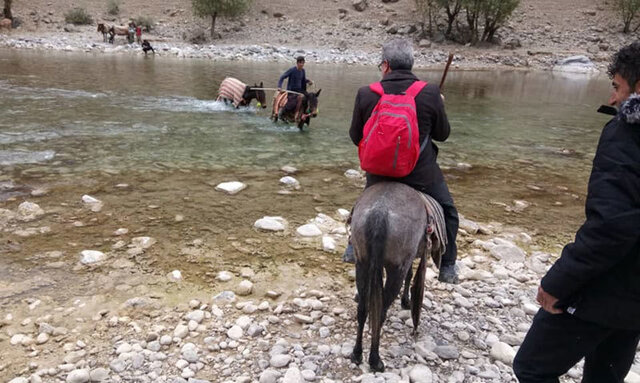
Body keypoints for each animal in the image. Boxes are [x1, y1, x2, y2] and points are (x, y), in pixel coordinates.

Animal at [348, 182, 442, 372]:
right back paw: (375, 360)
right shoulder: (407, 260)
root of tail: (380, 211)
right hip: (395, 269)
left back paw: (357, 354)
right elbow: (410, 275)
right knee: (380, 312)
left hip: (362, 264)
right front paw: (407, 301)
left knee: (363, 310)